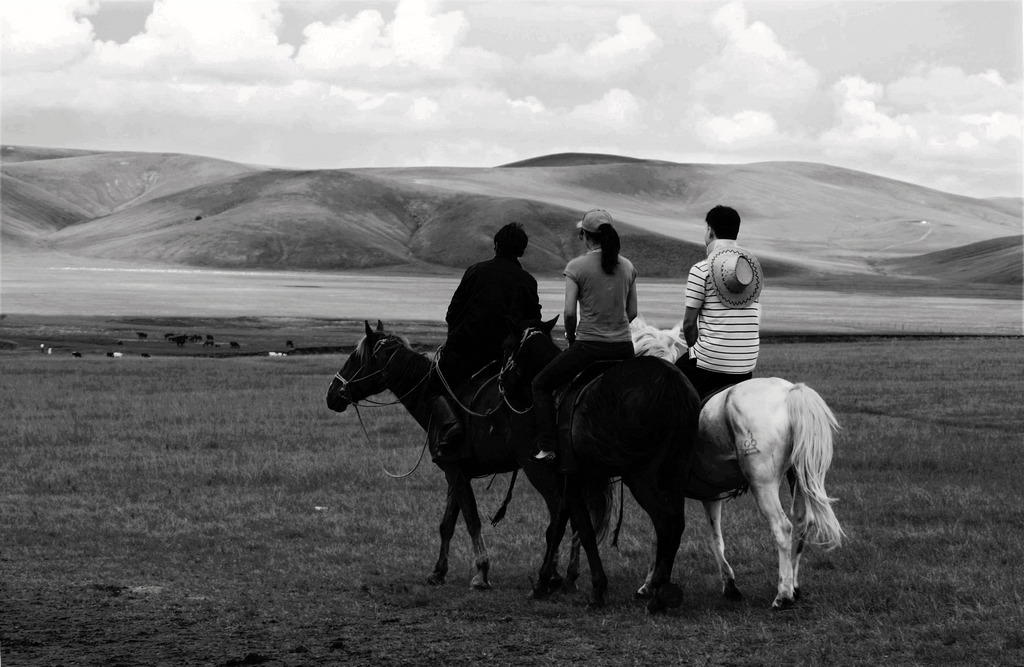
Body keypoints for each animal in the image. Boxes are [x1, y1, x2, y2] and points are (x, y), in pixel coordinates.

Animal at [323, 321, 598, 594]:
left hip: (538, 469)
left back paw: (550, 576)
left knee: (559, 511)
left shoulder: (454, 470)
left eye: (355, 359)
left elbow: (471, 519)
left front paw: (482, 573)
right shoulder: (456, 473)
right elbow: (447, 523)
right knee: (575, 516)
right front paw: (438, 572)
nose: (331, 394)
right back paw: (570, 576)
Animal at [503, 317, 704, 614]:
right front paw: (546, 582)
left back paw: (656, 591)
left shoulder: (572, 480)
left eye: (507, 347)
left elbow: (582, 531)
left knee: (665, 522)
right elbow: (558, 529)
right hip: (676, 471)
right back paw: (661, 589)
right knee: (676, 523)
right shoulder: (571, 482)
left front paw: (595, 589)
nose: (502, 385)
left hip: (641, 476)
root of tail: (670, 383)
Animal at [626, 317, 843, 610]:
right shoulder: (710, 495)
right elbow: (715, 539)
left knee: (782, 527)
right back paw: (795, 586)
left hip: (762, 482)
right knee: (801, 523)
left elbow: (659, 536)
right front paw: (729, 584)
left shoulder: (664, 491)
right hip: (798, 478)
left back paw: (783, 594)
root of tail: (790, 392)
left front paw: (650, 584)